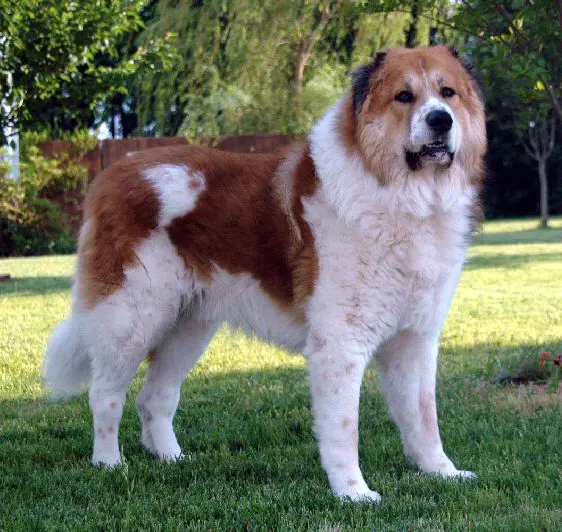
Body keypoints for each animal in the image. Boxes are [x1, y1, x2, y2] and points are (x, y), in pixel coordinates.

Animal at [43, 46, 484, 502]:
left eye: (447, 93)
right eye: (404, 96)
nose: (441, 120)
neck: (404, 197)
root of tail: (112, 173)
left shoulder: (415, 340)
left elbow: (424, 418)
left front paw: (441, 472)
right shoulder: (340, 344)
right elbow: (345, 428)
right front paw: (353, 493)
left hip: (189, 327)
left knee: (155, 397)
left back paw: (172, 459)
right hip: (131, 319)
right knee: (106, 395)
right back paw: (109, 464)